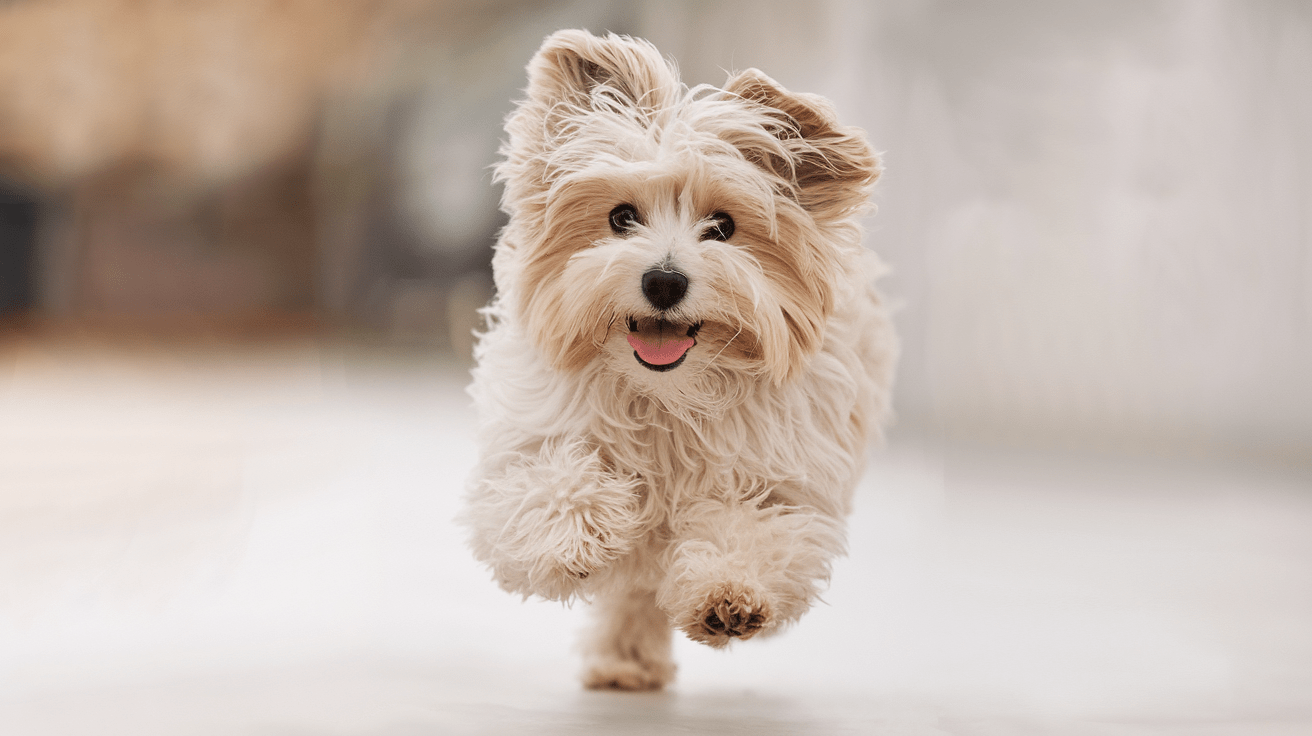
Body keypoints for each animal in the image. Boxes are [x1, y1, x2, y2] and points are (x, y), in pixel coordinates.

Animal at [456, 28, 897, 687]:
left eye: (723, 227)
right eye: (621, 217)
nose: (664, 281)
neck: (669, 396)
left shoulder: (784, 482)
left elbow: (751, 527)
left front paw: (728, 593)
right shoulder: (527, 444)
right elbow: (548, 483)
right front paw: (574, 536)